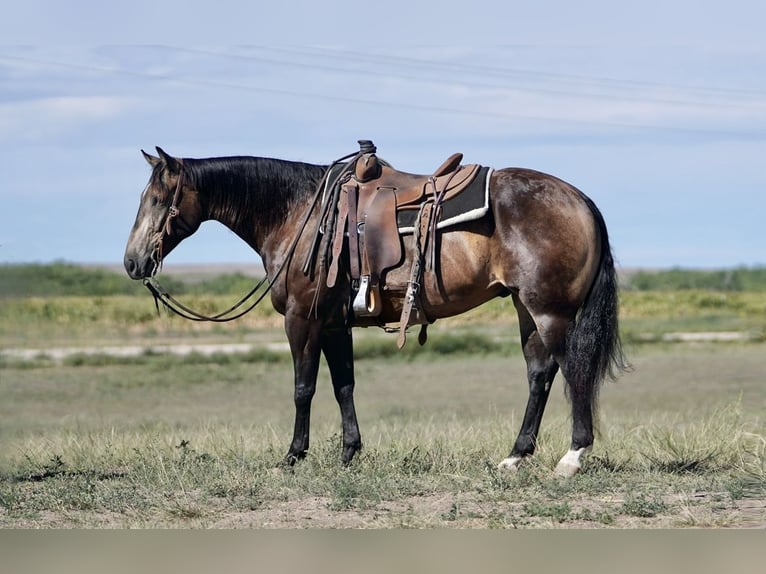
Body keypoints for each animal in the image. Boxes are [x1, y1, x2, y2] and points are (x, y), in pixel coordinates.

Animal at [123, 141, 628, 476]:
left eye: (157, 200)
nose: (132, 262)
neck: (299, 214)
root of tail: (581, 200)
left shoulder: (302, 319)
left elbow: (303, 387)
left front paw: (293, 454)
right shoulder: (333, 323)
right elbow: (343, 385)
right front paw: (349, 451)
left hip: (550, 312)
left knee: (572, 372)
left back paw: (572, 457)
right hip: (527, 309)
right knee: (540, 375)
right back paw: (515, 455)